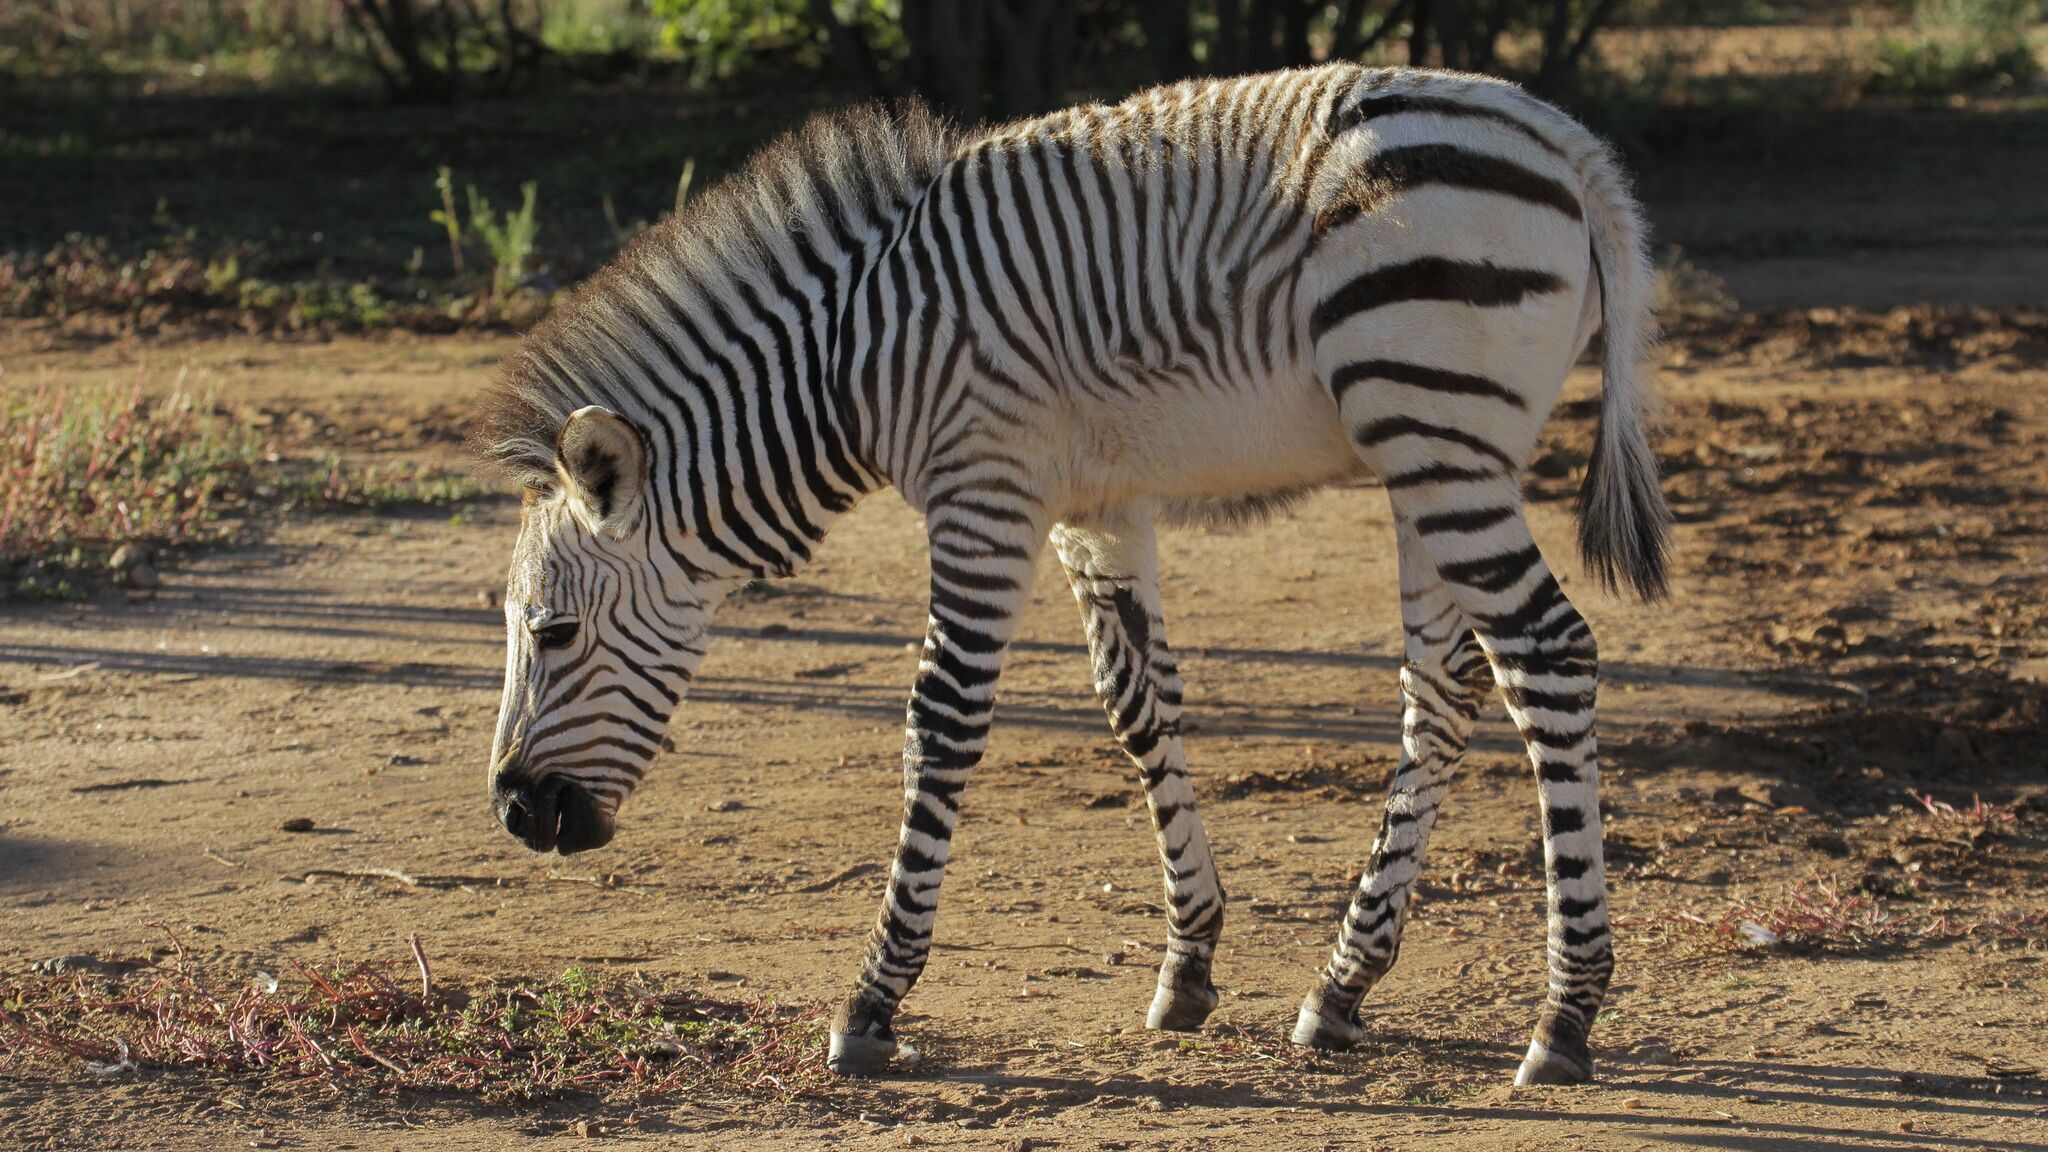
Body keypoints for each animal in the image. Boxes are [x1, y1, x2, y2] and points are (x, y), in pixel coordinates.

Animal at [475, 62, 1662, 1082]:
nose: (515, 815)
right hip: (1432, 453)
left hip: (1430, 424)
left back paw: (1564, 1017)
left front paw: (873, 1000)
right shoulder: (1094, 502)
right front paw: (1188, 962)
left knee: (1547, 654)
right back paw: (1342, 986)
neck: (854, 360)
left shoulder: (983, 491)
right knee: (1443, 689)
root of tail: (1562, 142)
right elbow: (1139, 705)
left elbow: (942, 723)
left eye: (552, 633)